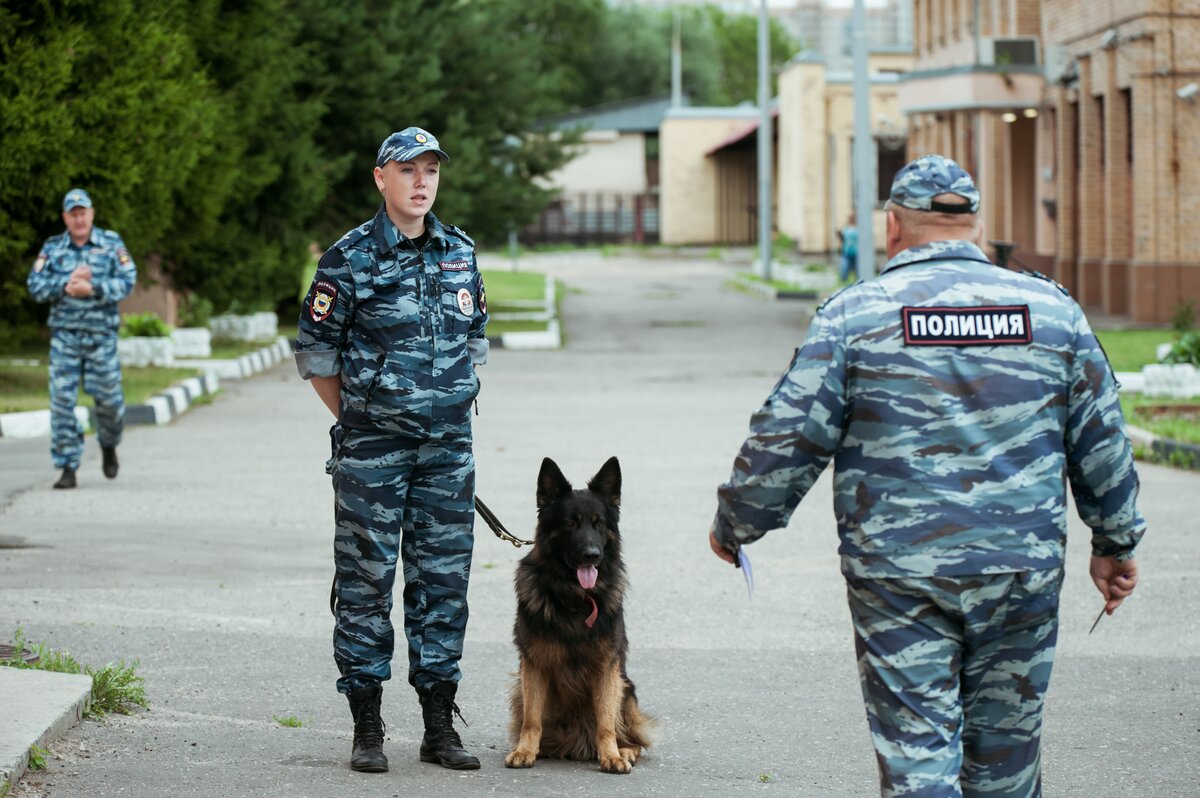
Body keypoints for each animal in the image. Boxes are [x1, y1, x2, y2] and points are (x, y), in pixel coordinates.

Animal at [506, 458, 657, 772]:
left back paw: (625, 750)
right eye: (570, 523)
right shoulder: (534, 664)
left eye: (599, 524)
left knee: (630, 736)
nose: (592, 555)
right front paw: (525, 750)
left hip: (625, 687)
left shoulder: (607, 667)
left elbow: (605, 721)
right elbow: (532, 719)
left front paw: (611, 755)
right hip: (518, 685)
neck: (575, 598)